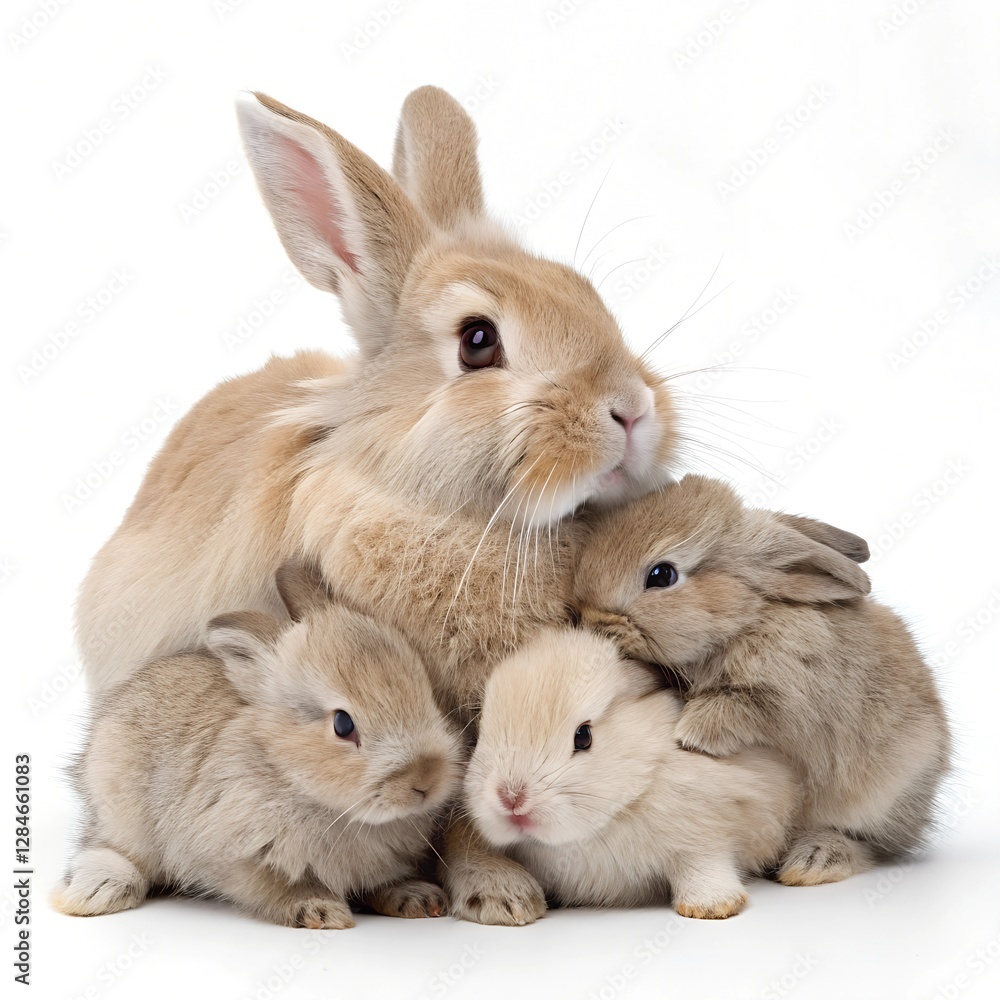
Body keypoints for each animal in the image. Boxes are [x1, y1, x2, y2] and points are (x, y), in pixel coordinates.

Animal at [52, 562, 462, 928]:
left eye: (426, 691)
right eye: (343, 725)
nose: (425, 781)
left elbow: (382, 882)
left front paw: (418, 898)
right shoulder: (233, 856)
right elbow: (274, 888)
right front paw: (320, 911)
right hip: (118, 802)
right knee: (109, 847)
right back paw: (95, 892)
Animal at [466, 627, 801, 918]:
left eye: (583, 736)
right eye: (482, 730)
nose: (511, 800)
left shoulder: (708, 833)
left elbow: (703, 865)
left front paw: (712, 907)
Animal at [573, 474, 953, 886]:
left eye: (662, 575)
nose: (587, 619)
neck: (749, 617)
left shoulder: (783, 695)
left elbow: (735, 708)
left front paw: (686, 734)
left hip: (885, 793)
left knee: (875, 846)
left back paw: (813, 862)